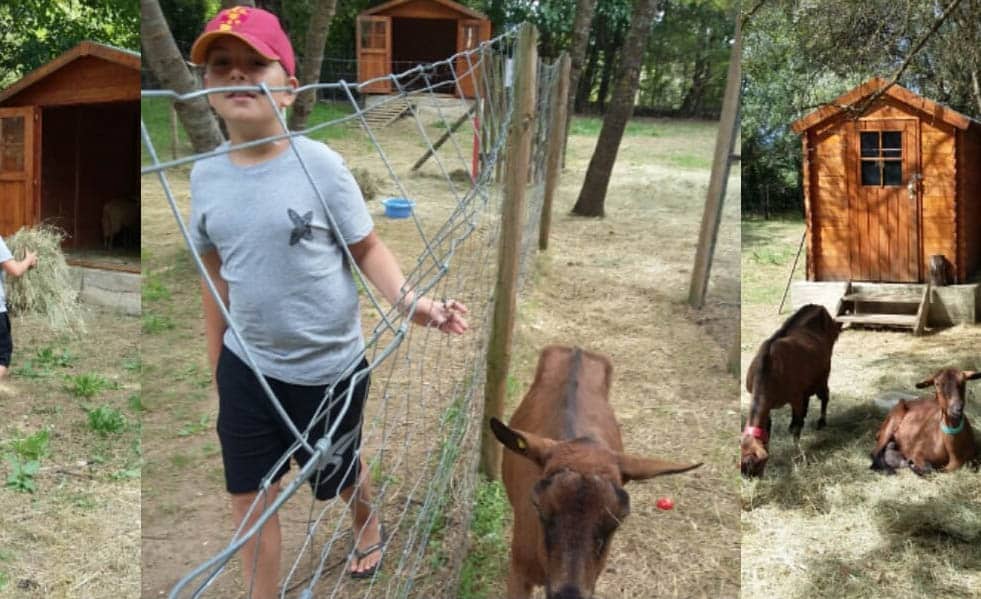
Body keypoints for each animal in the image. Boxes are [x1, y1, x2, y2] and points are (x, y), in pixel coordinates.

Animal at [744, 304, 844, 478]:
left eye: (755, 466)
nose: (748, 478)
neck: (768, 370)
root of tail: (819, 308)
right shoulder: (769, 404)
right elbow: (769, 428)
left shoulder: (796, 397)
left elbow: (797, 429)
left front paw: (798, 456)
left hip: (824, 372)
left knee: (824, 395)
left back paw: (821, 421)